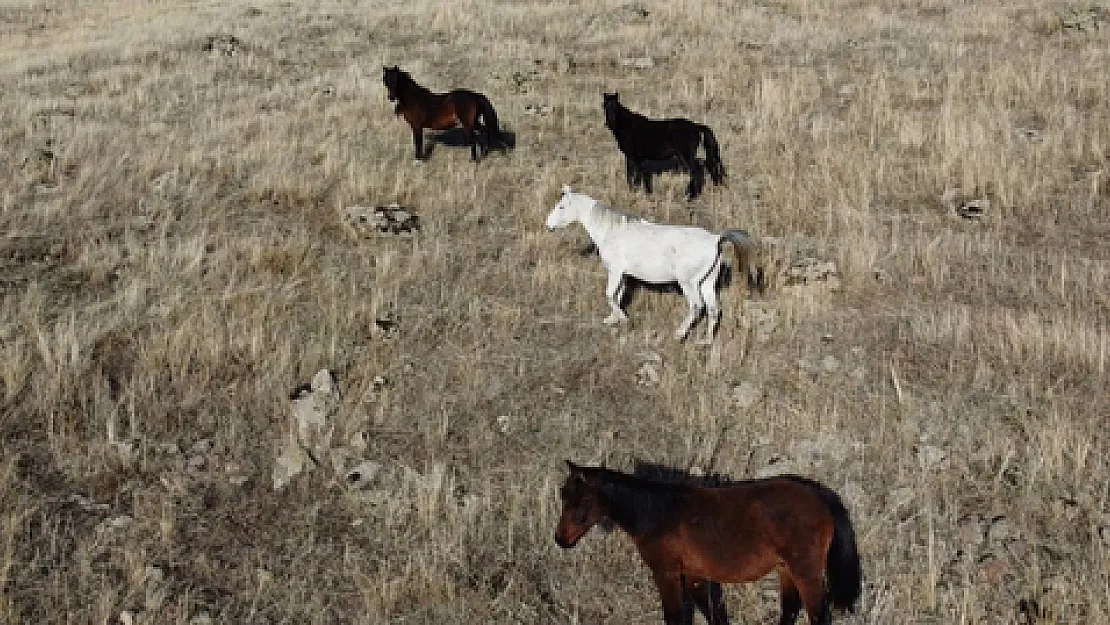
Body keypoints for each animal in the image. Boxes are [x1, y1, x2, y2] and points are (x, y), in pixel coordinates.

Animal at [377, 66, 508, 160]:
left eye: (396, 80)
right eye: (385, 80)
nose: (391, 97)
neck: (413, 97)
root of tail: (475, 96)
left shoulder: (417, 126)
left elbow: (418, 142)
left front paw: (419, 159)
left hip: (468, 123)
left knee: (474, 138)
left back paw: (474, 159)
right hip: (474, 122)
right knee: (486, 131)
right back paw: (484, 152)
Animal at [546, 187, 754, 341]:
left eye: (561, 207)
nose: (548, 225)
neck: (611, 231)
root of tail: (715, 239)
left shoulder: (615, 270)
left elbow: (610, 295)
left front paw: (624, 320)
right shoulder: (622, 274)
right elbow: (618, 295)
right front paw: (613, 319)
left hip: (689, 283)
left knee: (697, 306)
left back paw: (680, 334)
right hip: (707, 282)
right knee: (713, 309)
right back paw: (706, 341)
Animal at [555, 461, 865, 621]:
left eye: (580, 503)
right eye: (562, 495)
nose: (561, 540)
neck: (658, 513)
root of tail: (817, 495)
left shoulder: (667, 574)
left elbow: (675, 617)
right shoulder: (695, 576)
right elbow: (712, 615)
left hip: (805, 573)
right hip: (786, 570)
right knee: (790, 610)